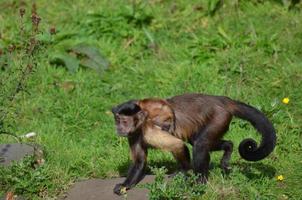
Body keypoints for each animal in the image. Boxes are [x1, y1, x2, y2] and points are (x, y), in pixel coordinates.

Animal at [111, 93, 276, 195]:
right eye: (117, 120)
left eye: (124, 121)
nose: (118, 128)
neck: (140, 125)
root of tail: (222, 100)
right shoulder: (133, 134)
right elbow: (139, 161)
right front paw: (125, 185)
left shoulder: (149, 131)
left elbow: (178, 145)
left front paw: (185, 171)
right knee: (198, 141)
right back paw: (228, 147)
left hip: (219, 117)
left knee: (200, 144)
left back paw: (200, 183)